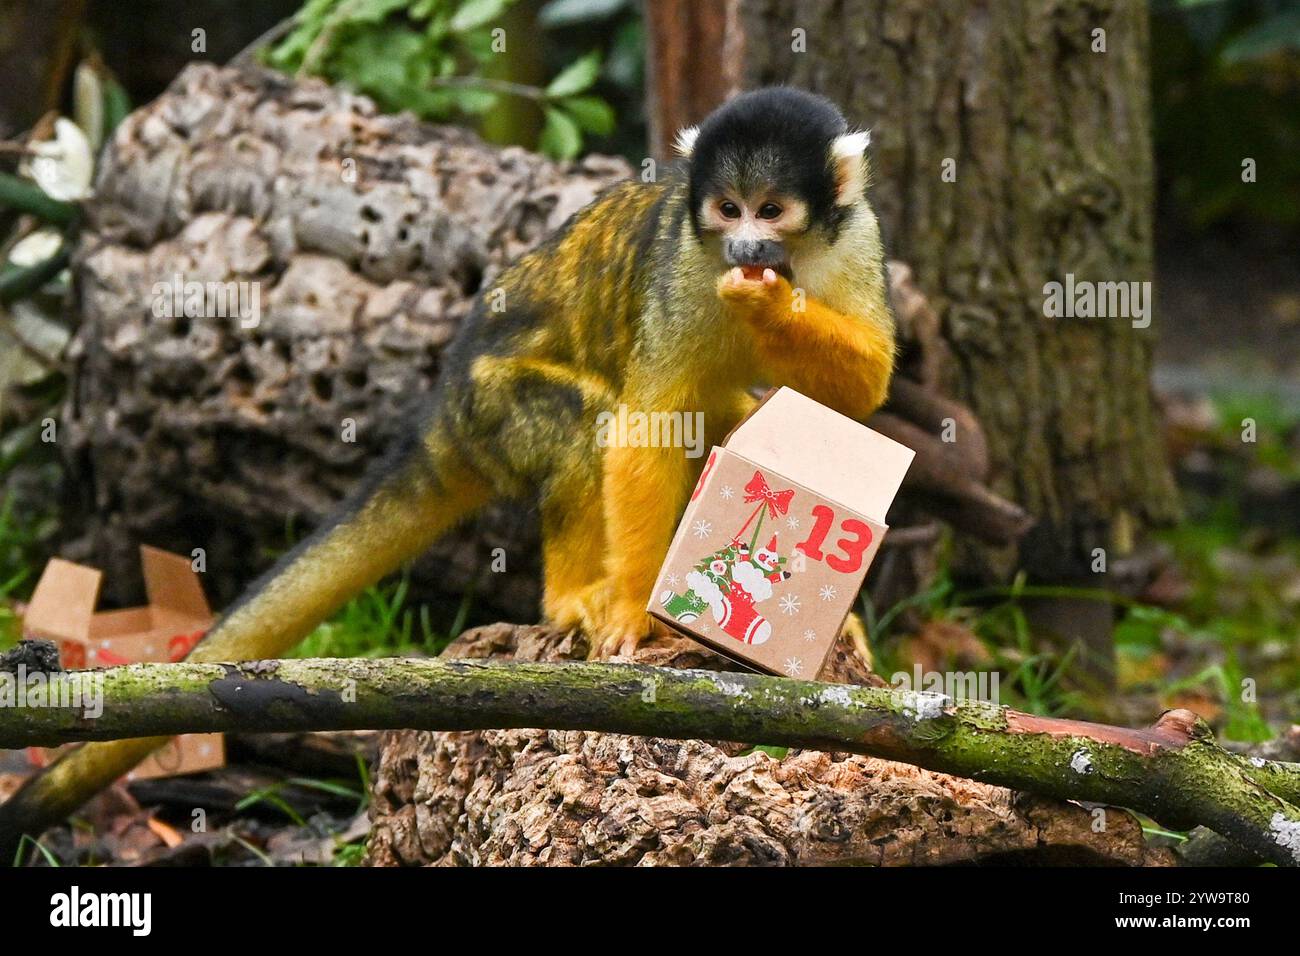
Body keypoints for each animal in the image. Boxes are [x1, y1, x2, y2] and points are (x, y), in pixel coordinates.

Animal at [5, 87, 894, 832]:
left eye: (771, 210)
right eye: (727, 208)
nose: (744, 244)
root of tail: (440, 415)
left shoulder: (858, 239)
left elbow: (858, 388)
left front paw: (773, 304)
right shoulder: (685, 260)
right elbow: (647, 425)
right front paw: (632, 611)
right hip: (492, 404)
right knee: (587, 420)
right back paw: (572, 595)